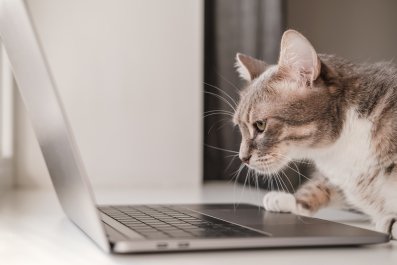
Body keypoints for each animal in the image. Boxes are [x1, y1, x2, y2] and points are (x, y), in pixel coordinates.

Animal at [232, 29, 396, 238]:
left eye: (260, 125)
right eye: (240, 126)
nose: (242, 158)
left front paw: (391, 222)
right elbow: (321, 185)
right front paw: (289, 200)